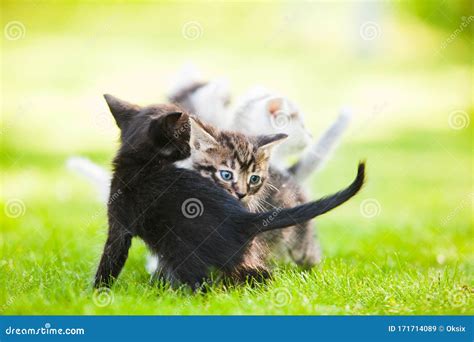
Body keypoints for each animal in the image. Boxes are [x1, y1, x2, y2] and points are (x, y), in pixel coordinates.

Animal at [93, 95, 366, 290]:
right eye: (226, 175)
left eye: (254, 179)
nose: (242, 194)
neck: (139, 161)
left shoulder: (119, 224)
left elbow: (110, 259)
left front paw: (97, 291)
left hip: (188, 248)